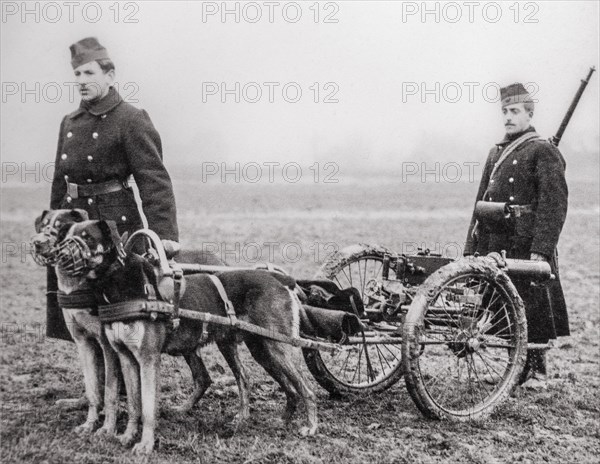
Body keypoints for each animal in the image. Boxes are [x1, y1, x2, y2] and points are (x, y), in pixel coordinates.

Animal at [62, 220, 318, 454]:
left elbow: (147, 408)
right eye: (68, 234)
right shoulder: (125, 357)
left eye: (88, 237)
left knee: (305, 389)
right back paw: (271, 420)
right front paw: (126, 437)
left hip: (275, 348)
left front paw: (145, 445)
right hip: (258, 349)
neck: (122, 284)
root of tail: (281, 280)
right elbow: (135, 405)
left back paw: (311, 427)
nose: (61, 254)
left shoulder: (148, 359)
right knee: (261, 382)